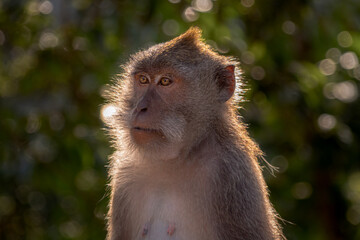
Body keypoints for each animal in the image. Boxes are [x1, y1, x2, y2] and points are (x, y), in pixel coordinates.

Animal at [104, 26, 284, 240]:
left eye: (165, 81)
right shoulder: (124, 173)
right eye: (143, 80)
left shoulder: (233, 175)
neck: (176, 160)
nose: (140, 107)